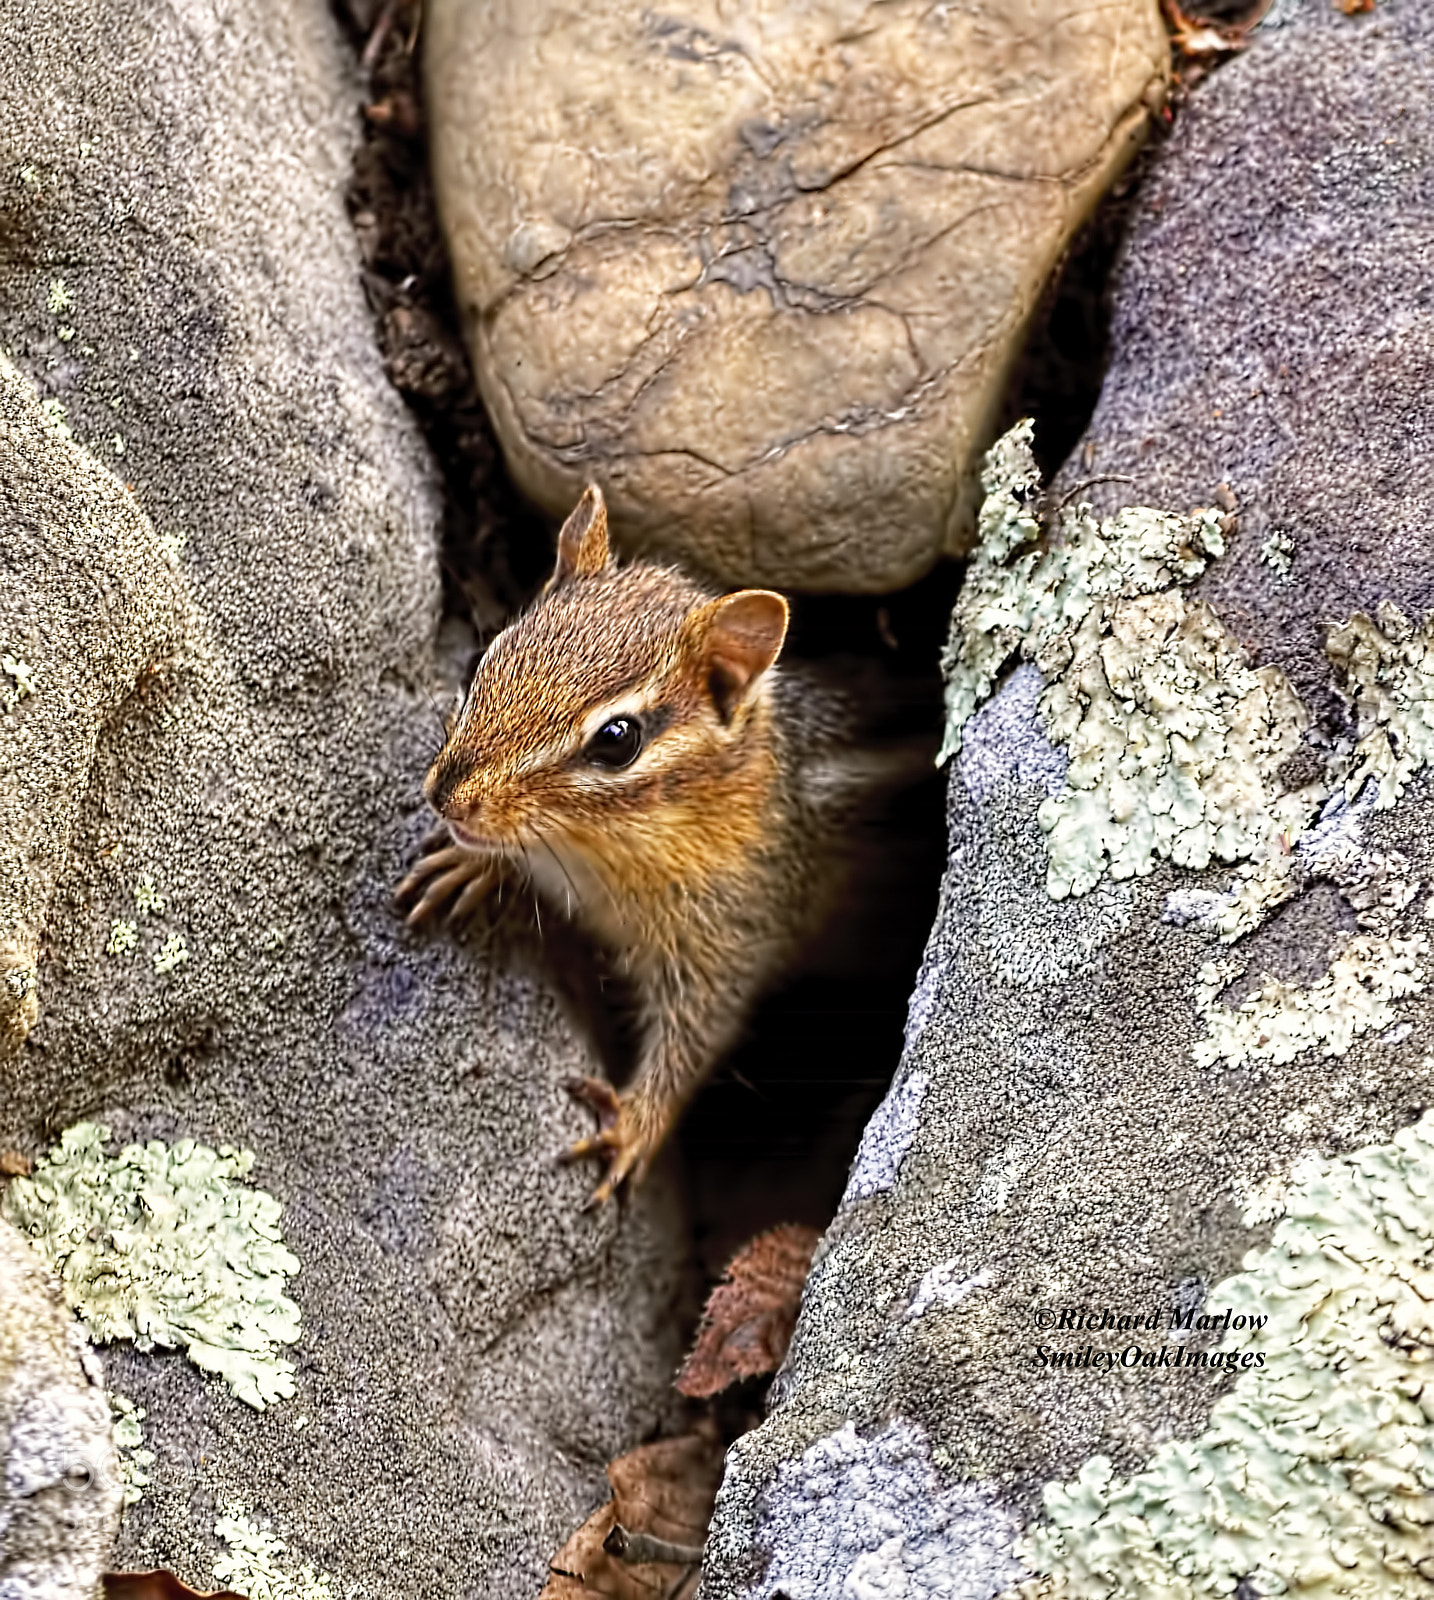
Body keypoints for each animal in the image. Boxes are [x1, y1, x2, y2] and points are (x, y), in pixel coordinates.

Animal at [398, 484, 929, 1206]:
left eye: (617, 740)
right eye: (488, 657)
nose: (447, 796)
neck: (599, 856)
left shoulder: (734, 935)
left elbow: (696, 1035)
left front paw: (634, 1125)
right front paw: (469, 863)